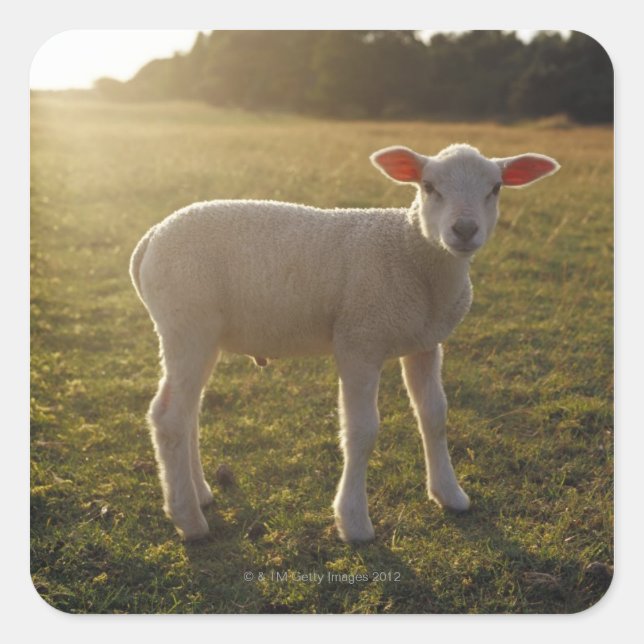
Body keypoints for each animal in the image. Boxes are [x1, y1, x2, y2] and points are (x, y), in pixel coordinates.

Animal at [129, 143, 560, 542]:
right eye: (428, 186)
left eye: (496, 188)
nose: (465, 230)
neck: (413, 252)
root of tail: (150, 237)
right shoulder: (359, 341)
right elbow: (361, 431)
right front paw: (353, 522)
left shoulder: (425, 344)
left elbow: (435, 416)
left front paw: (449, 495)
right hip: (186, 325)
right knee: (168, 416)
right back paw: (188, 519)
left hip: (201, 334)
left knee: (188, 412)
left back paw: (200, 494)